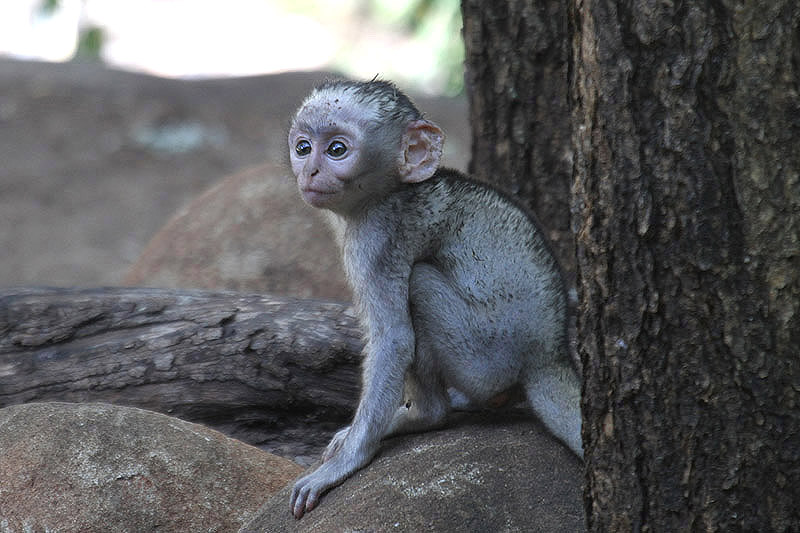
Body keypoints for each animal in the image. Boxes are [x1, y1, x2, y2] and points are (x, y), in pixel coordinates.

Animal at [288, 80, 580, 520]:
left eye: (337, 149)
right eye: (303, 147)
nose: (310, 170)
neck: (390, 190)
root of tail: (548, 353)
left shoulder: (376, 239)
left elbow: (394, 339)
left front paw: (346, 462)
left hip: (485, 358)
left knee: (419, 283)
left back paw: (425, 414)